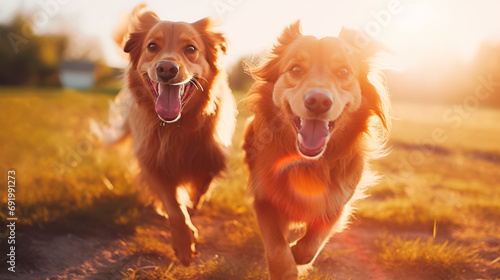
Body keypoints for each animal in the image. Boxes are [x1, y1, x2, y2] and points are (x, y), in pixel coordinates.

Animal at [105, 5, 236, 266]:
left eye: (191, 49)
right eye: (152, 46)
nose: (166, 68)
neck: (176, 127)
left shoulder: (211, 159)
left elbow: (199, 192)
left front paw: (192, 212)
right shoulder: (153, 162)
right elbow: (174, 205)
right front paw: (184, 243)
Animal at [242, 22, 390, 280]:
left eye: (343, 71)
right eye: (295, 69)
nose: (319, 101)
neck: (310, 162)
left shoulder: (338, 203)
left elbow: (312, 243)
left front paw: (297, 253)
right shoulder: (264, 199)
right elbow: (277, 249)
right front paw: (287, 267)